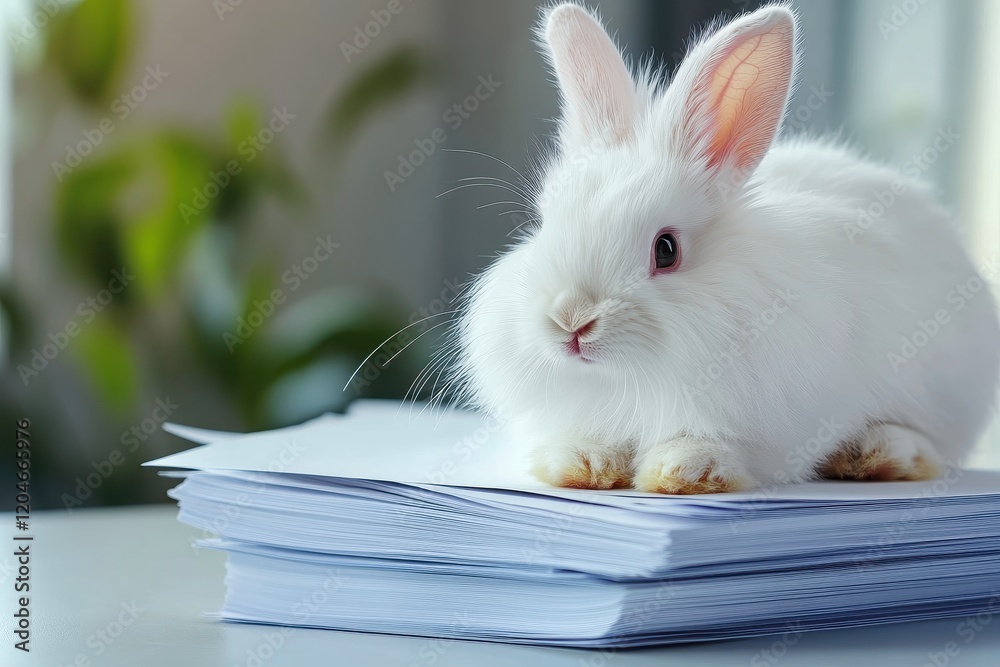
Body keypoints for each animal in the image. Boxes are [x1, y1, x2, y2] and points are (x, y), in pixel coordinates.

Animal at [456, 2, 1000, 494]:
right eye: (544, 225)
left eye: (666, 249)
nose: (571, 321)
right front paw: (582, 466)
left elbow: (712, 444)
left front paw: (683, 473)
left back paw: (879, 455)